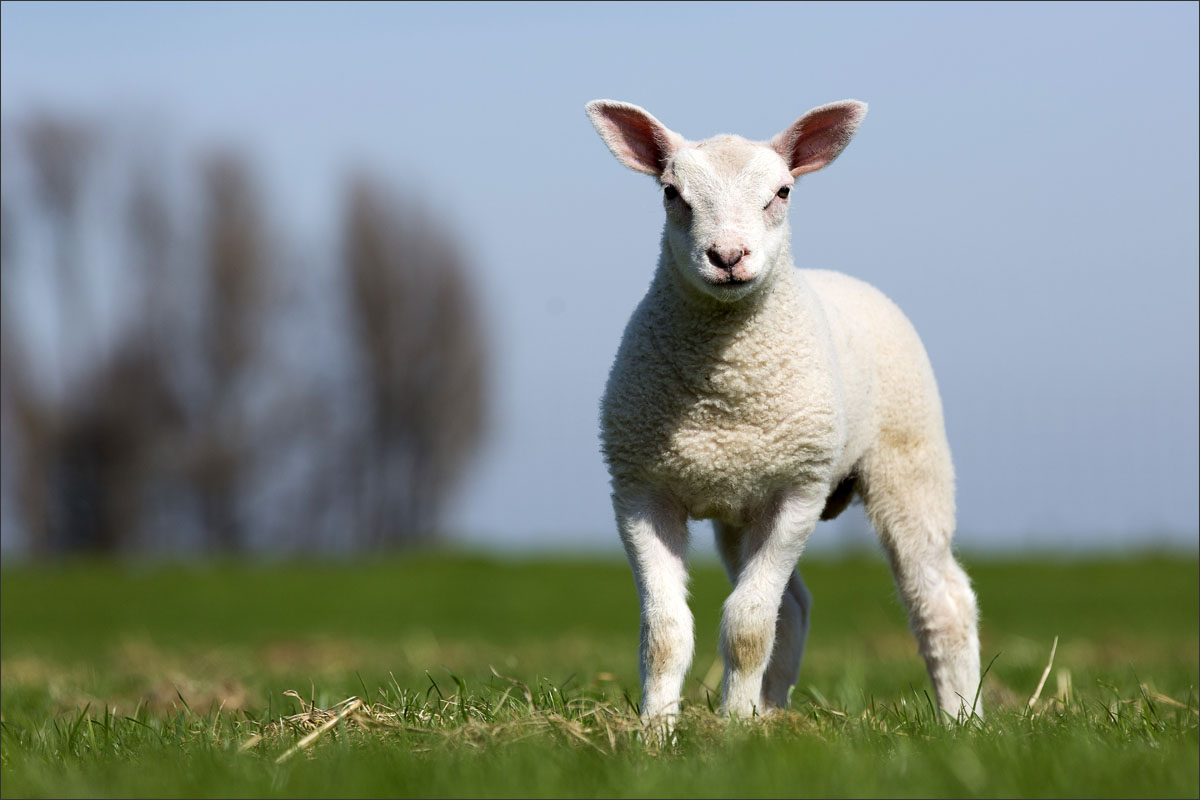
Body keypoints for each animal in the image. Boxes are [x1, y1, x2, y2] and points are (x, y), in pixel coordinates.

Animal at [585, 99, 982, 725]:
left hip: (909, 458)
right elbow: (666, 632)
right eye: (672, 192)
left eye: (783, 191)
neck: (723, 396)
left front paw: (731, 727)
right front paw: (658, 729)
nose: (727, 257)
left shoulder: (797, 490)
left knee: (942, 598)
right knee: (792, 607)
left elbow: (747, 626)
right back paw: (770, 713)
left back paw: (962, 720)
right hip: (739, 506)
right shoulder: (640, 491)